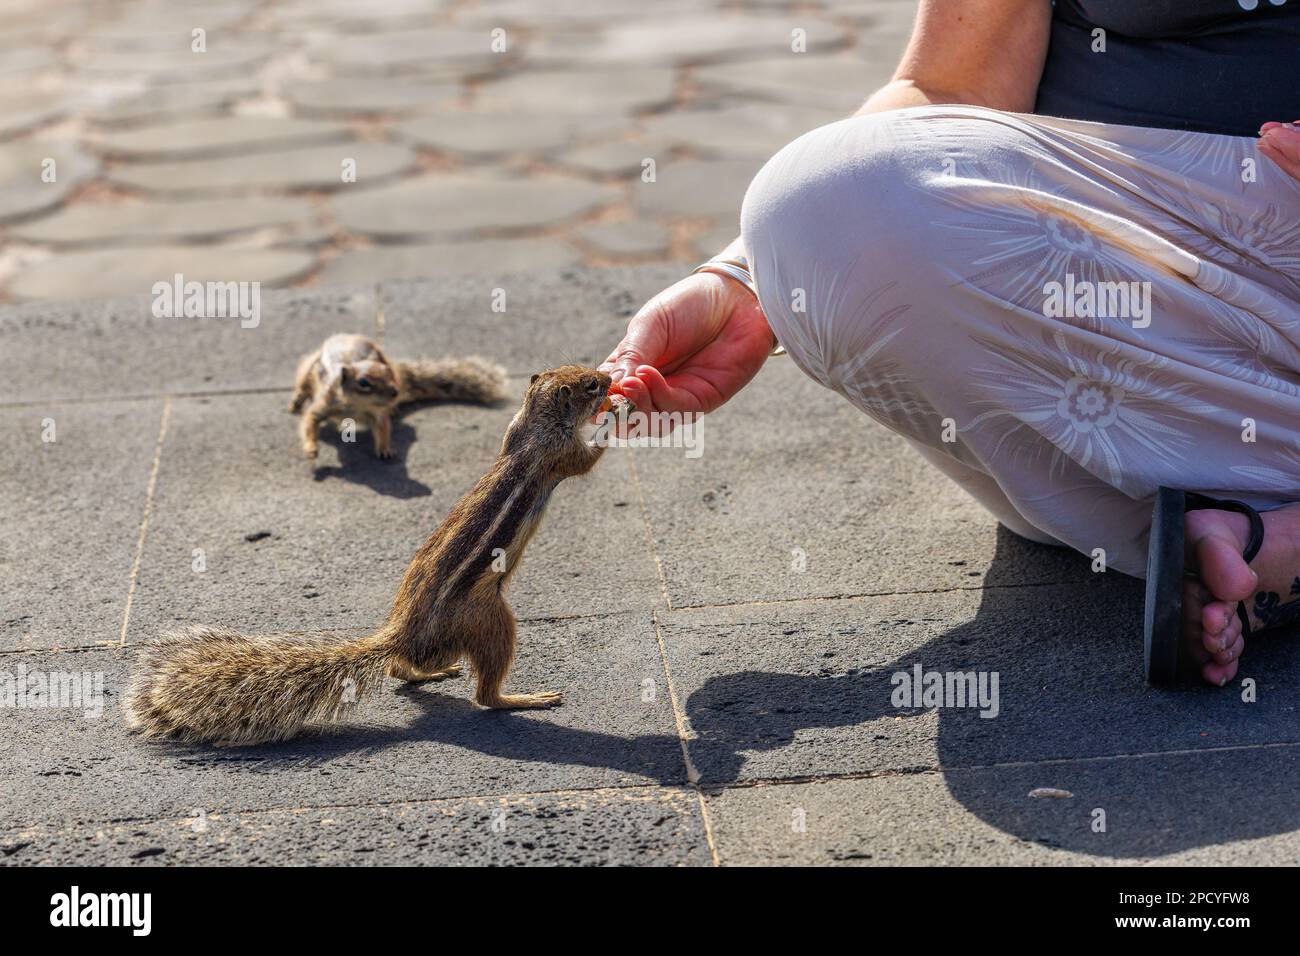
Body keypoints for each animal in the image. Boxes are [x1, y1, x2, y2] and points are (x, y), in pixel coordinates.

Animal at [126, 366, 618, 749]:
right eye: (590, 383)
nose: (611, 378)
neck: (535, 424)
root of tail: (401, 633)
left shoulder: (515, 432)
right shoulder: (559, 455)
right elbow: (586, 459)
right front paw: (614, 414)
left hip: (445, 642)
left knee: (406, 668)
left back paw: (427, 675)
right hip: (490, 619)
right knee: (485, 695)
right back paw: (524, 699)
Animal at [289, 332, 506, 460]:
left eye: (388, 374)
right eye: (363, 383)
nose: (395, 392)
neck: (356, 406)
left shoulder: (378, 412)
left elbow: (383, 427)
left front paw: (385, 449)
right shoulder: (326, 401)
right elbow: (309, 421)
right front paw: (311, 448)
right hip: (309, 367)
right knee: (302, 386)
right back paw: (295, 401)